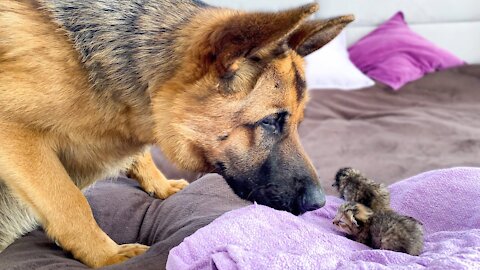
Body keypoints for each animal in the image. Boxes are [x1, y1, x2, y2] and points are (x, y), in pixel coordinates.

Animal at [0, 0, 352, 266]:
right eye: (270, 121)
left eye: (297, 123)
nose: (320, 204)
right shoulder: (16, 135)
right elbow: (69, 200)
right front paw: (107, 255)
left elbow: (140, 157)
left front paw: (161, 185)